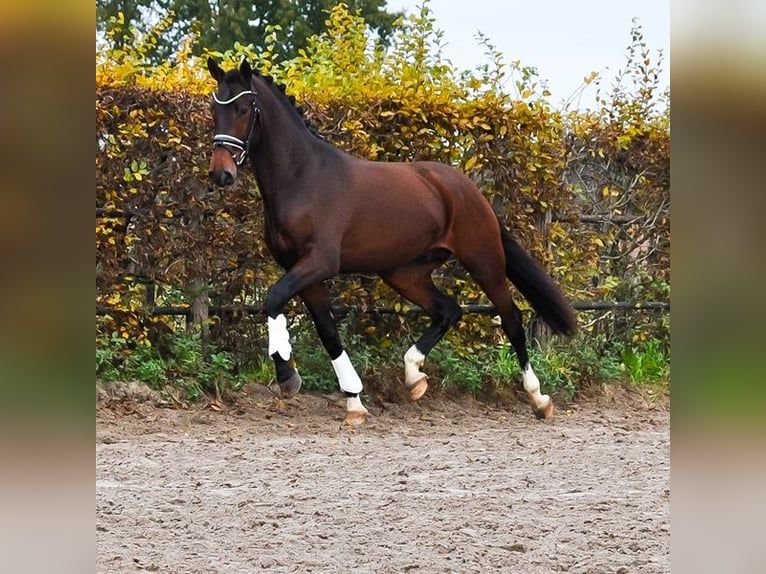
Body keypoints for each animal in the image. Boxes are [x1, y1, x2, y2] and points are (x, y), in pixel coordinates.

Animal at [206, 59, 576, 428]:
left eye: (243, 108)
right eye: (214, 109)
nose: (221, 173)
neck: (302, 177)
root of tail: (467, 187)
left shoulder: (319, 263)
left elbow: (273, 298)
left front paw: (287, 376)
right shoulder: (302, 271)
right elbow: (327, 331)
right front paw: (354, 402)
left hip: (483, 260)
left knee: (510, 317)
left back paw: (539, 398)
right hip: (405, 273)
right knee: (448, 309)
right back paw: (414, 377)